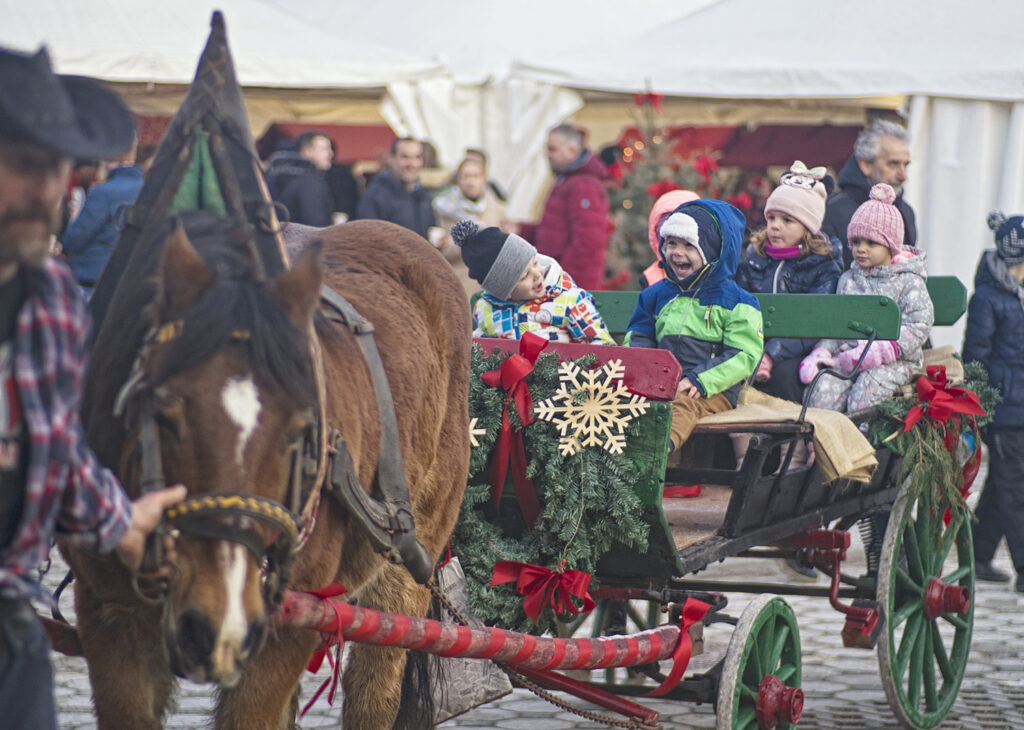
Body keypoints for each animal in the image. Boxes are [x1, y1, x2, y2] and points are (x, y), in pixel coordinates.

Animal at [59, 213, 468, 724]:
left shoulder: (291, 622)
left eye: (299, 428)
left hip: (413, 553)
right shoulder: (107, 616)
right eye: (166, 416)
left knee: (374, 687)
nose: (218, 620)